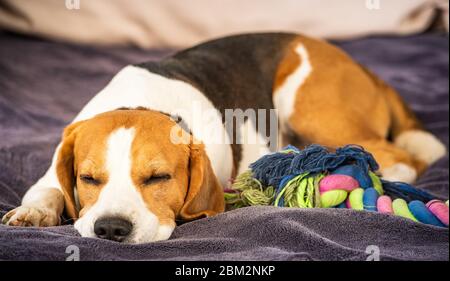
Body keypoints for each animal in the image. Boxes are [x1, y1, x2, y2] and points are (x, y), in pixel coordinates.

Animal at [0, 32, 446, 243]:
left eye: (158, 178)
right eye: (88, 179)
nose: (110, 230)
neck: (144, 102)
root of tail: (362, 68)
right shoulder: (54, 169)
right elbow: (46, 190)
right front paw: (34, 212)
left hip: (308, 103)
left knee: (399, 157)